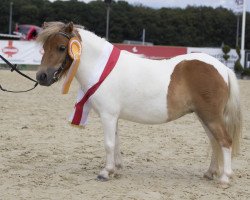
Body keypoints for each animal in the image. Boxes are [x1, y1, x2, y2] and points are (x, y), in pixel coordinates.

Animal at [36, 21, 241, 186]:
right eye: (44, 47)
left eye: (62, 47)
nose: (41, 76)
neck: (102, 68)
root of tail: (223, 68)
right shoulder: (113, 117)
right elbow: (116, 142)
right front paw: (115, 169)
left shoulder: (108, 115)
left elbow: (109, 143)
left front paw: (105, 172)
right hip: (204, 116)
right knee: (214, 142)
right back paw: (210, 173)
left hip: (210, 116)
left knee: (224, 141)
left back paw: (224, 179)